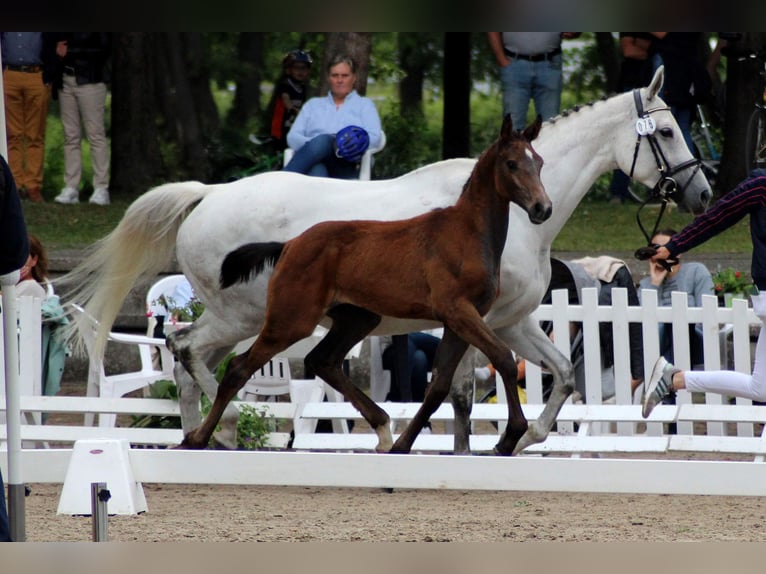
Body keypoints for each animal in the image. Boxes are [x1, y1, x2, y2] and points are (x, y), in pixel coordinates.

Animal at [180, 117, 552, 456]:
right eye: (512, 163)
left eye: (540, 162)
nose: (542, 208)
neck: (466, 235)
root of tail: (289, 245)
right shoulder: (459, 312)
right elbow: (503, 360)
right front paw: (509, 437)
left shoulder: (458, 321)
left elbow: (438, 386)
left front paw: (403, 445)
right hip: (290, 320)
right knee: (236, 367)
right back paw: (199, 438)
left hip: (357, 318)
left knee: (322, 360)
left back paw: (384, 429)